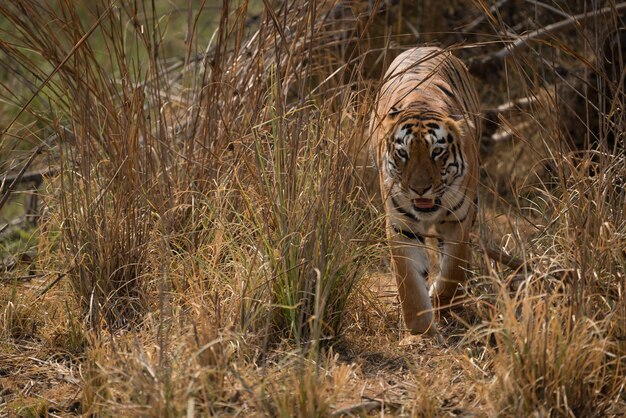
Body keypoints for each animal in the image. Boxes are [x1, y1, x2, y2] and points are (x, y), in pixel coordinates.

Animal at [368, 45, 480, 334]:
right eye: (403, 153)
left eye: (437, 152)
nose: (420, 190)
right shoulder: (401, 226)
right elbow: (408, 282)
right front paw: (420, 328)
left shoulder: (459, 220)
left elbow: (453, 271)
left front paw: (440, 300)